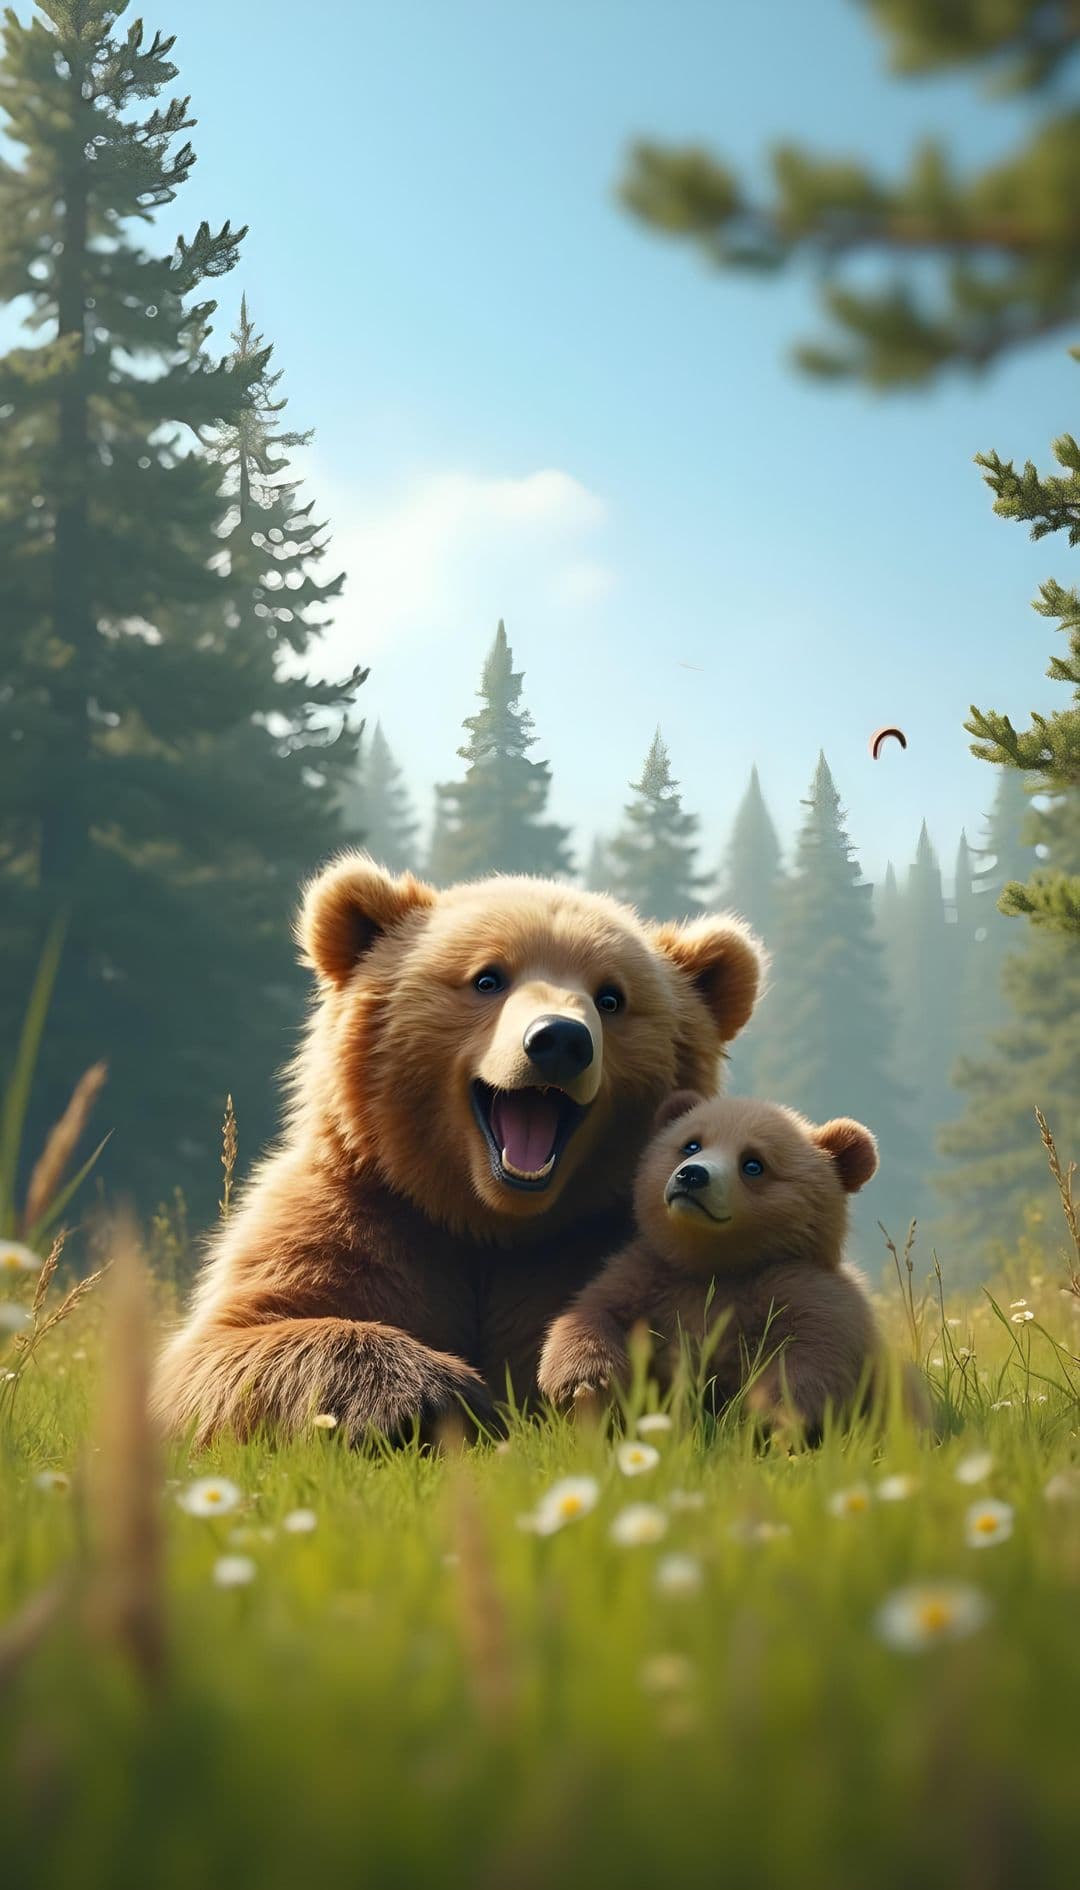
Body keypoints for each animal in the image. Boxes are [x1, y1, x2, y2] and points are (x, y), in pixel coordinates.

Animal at [152, 856, 765, 1445]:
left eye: (611, 997)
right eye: (488, 978)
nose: (560, 1039)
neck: (489, 1221)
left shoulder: (598, 1247)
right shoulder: (355, 1223)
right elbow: (220, 1352)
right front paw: (435, 1392)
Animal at [537, 1088, 885, 1434]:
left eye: (753, 1164)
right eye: (692, 1144)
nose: (692, 1175)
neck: (713, 1262)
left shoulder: (799, 1287)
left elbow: (813, 1352)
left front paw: (772, 1415)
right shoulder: (649, 1277)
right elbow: (593, 1313)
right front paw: (584, 1384)